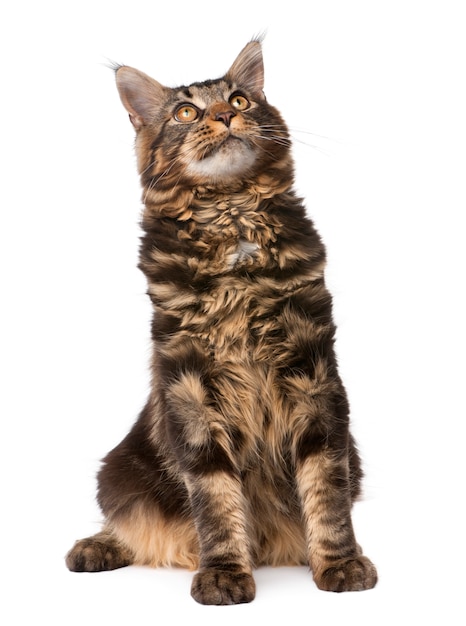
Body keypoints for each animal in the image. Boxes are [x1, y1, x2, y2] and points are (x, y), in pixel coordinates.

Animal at [65, 40, 376, 604]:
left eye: (239, 99)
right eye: (186, 113)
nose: (225, 116)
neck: (232, 223)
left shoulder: (314, 369)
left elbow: (327, 489)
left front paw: (340, 563)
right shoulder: (188, 382)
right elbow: (213, 496)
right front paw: (225, 572)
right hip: (120, 470)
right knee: (138, 528)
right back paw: (96, 547)